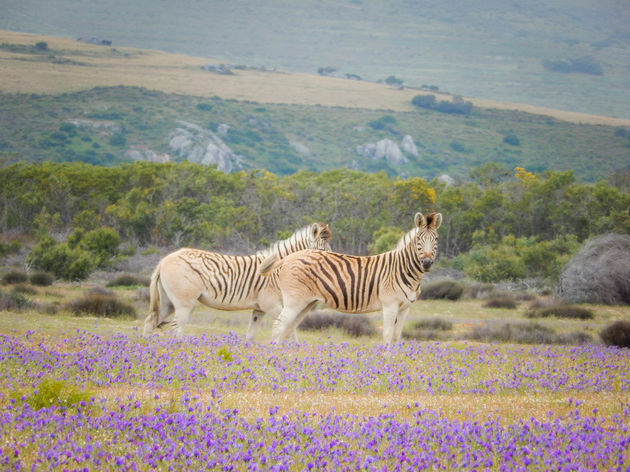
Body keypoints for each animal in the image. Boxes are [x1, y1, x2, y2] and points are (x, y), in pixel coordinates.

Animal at [141, 223, 334, 338]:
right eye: (323, 252)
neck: (279, 268)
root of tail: (163, 261)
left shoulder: (259, 309)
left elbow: (250, 336)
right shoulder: (272, 305)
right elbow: (289, 330)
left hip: (167, 302)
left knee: (150, 322)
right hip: (183, 301)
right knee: (177, 328)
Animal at [260, 213, 442, 346]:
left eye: (436, 239)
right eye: (418, 239)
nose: (426, 263)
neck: (402, 269)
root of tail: (288, 257)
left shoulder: (405, 308)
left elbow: (397, 336)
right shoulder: (390, 305)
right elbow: (387, 335)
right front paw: (386, 363)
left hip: (305, 303)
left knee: (288, 328)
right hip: (294, 302)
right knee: (278, 327)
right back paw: (276, 359)